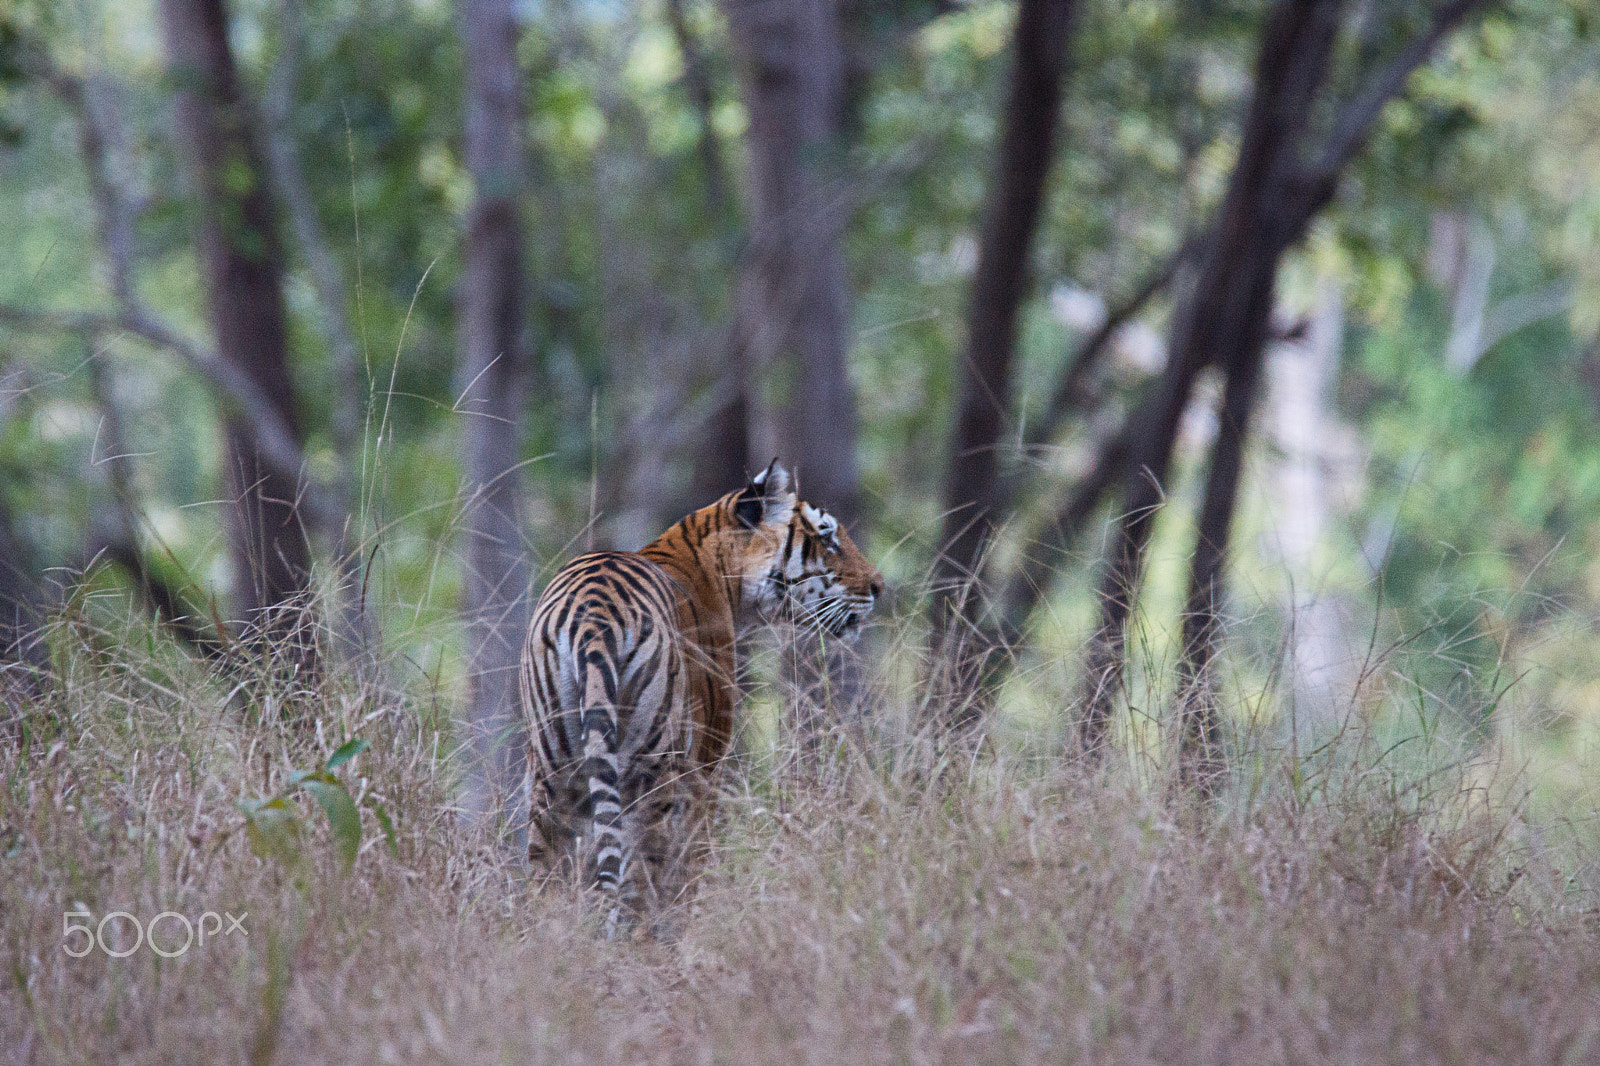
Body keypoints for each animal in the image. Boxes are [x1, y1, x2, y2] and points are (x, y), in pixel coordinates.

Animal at [518, 457, 883, 928]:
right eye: (827, 537)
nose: (878, 587)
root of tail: (594, 614)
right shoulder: (707, 763)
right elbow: (694, 860)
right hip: (651, 767)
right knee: (641, 874)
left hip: (551, 771)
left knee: (546, 875)